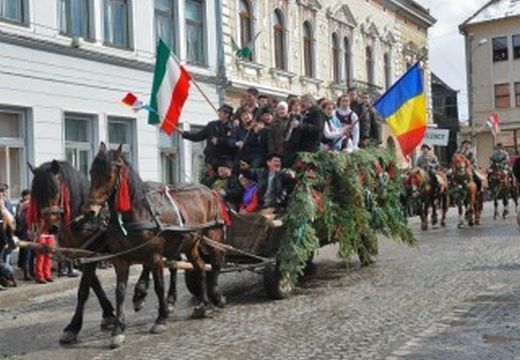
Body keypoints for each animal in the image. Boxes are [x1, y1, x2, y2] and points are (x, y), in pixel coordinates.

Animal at [84, 143, 224, 348]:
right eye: (91, 172)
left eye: (109, 175)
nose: (90, 211)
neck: (138, 213)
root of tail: (209, 190)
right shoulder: (121, 260)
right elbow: (120, 292)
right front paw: (118, 329)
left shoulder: (154, 256)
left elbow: (159, 286)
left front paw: (161, 318)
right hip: (190, 244)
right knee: (200, 267)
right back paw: (202, 304)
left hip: (213, 234)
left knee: (216, 263)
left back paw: (216, 296)